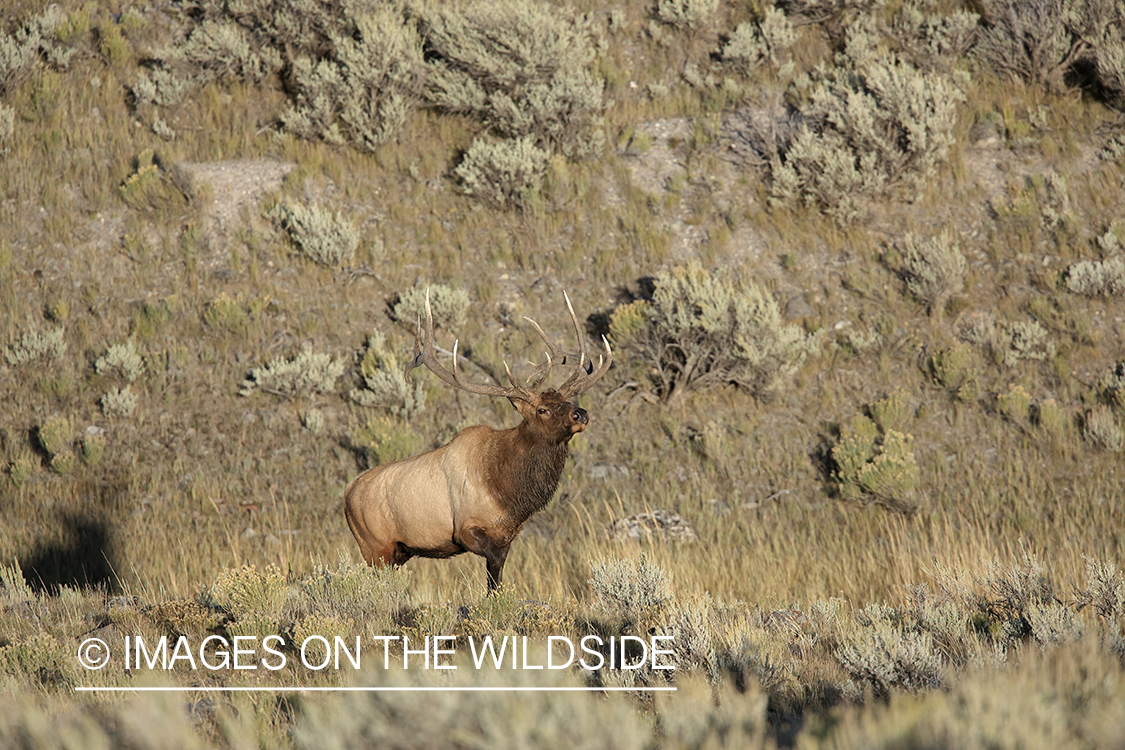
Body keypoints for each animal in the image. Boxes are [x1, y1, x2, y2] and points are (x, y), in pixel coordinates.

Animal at [344, 290, 611, 592]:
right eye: (542, 409)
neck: (507, 492)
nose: (581, 413)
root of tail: (346, 494)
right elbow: (492, 573)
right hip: (374, 547)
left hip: (397, 552)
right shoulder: (465, 529)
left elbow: (495, 580)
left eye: (565, 400)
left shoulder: (507, 536)